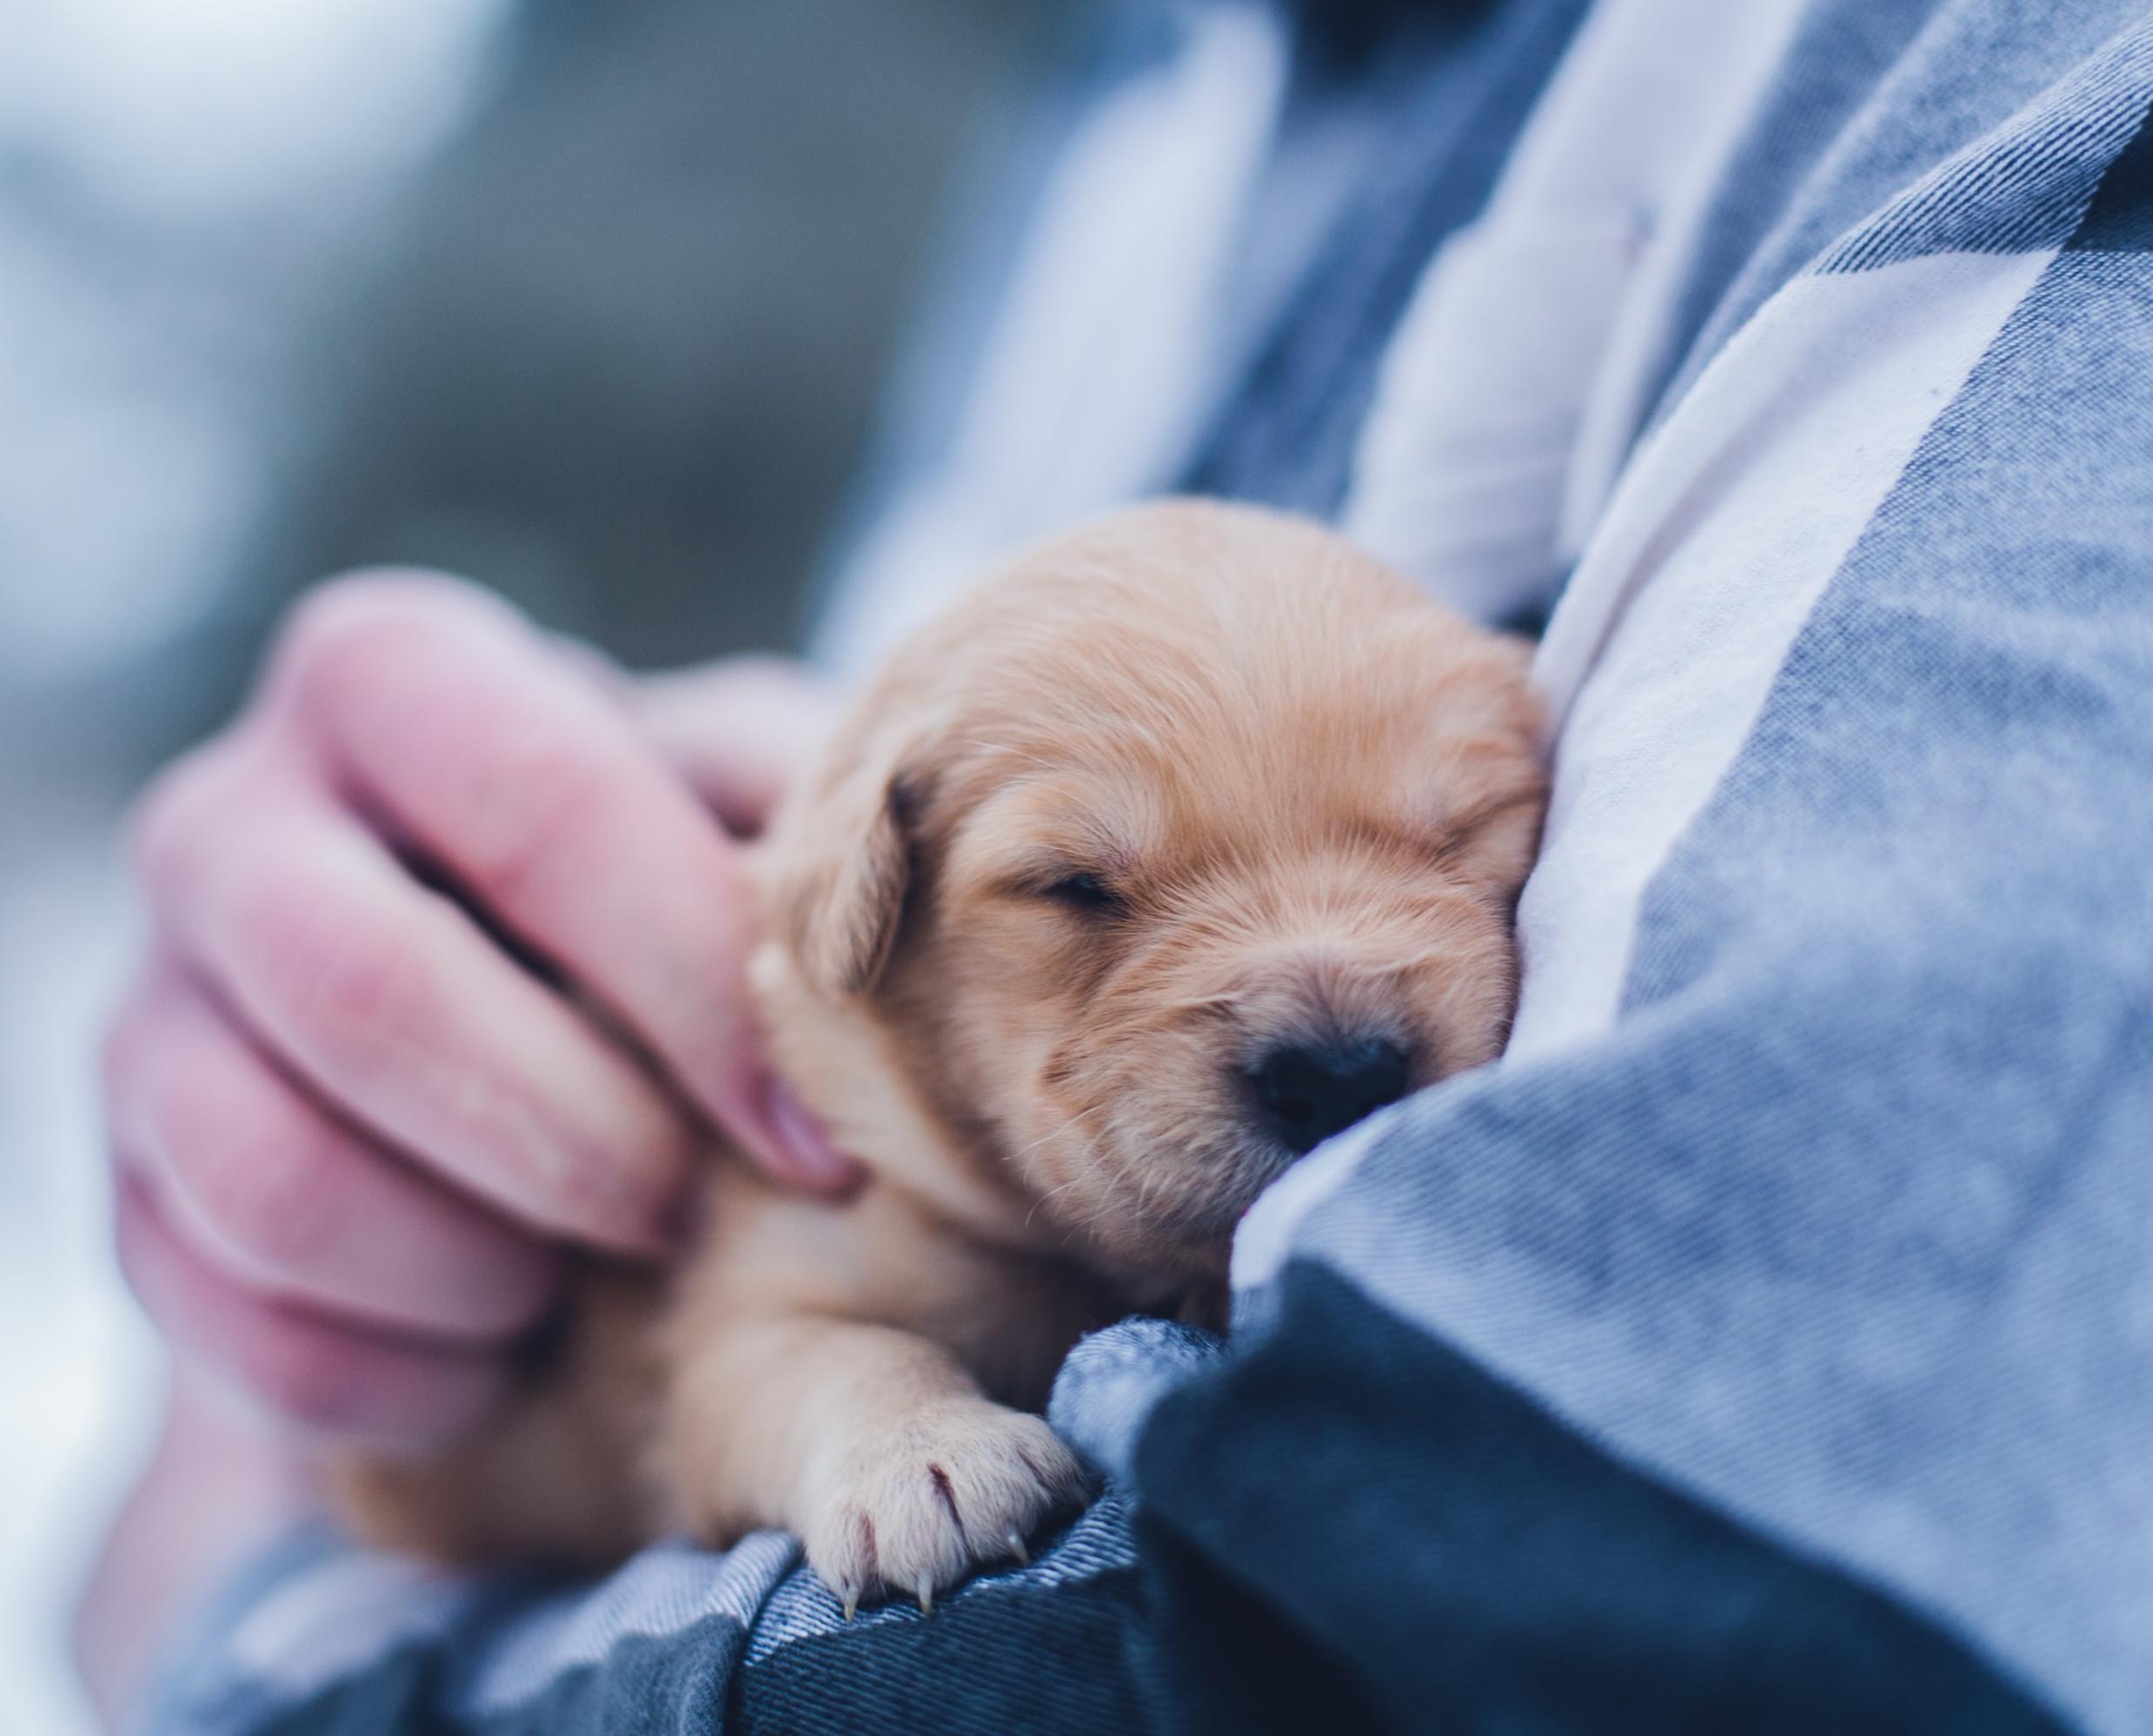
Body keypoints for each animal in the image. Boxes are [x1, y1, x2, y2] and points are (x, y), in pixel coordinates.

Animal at [336, 499, 1550, 1620]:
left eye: (1461, 829)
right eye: (1073, 885)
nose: (1338, 1072)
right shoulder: (736, 1310)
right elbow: (830, 1351)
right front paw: (924, 1455)